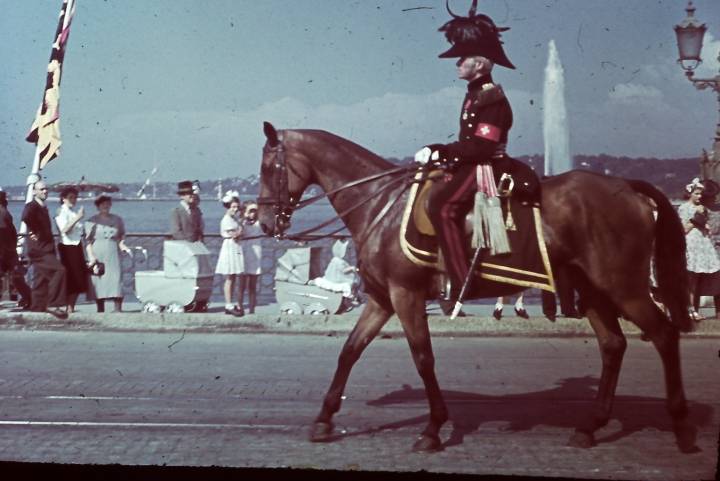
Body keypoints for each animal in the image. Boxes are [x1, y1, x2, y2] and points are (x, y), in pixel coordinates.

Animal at [256, 122, 696, 452]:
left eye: (266, 167)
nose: (262, 221)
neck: (380, 203)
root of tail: (627, 187)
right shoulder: (382, 298)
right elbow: (349, 351)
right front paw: (324, 419)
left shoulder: (405, 294)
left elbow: (423, 358)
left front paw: (434, 429)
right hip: (592, 289)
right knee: (613, 345)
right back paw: (591, 425)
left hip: (624, 286)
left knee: (663, 334)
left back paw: (681, 425)